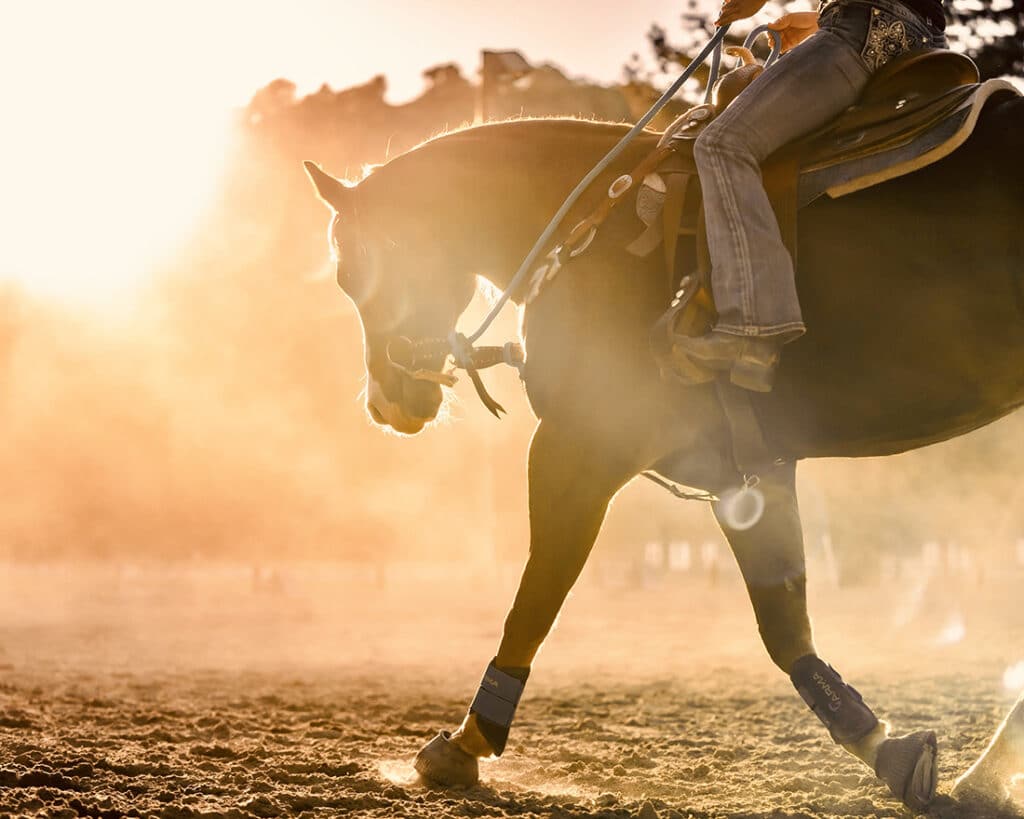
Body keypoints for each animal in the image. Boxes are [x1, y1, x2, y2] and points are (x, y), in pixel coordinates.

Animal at [304, 89, 1024, 810]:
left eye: (351, 272)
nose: (388, 404)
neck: (594, 232)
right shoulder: (748, 475)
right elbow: (786, 629)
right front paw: (886, 748)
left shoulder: (579, 447)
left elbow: (534, 600)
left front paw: (467, 742)